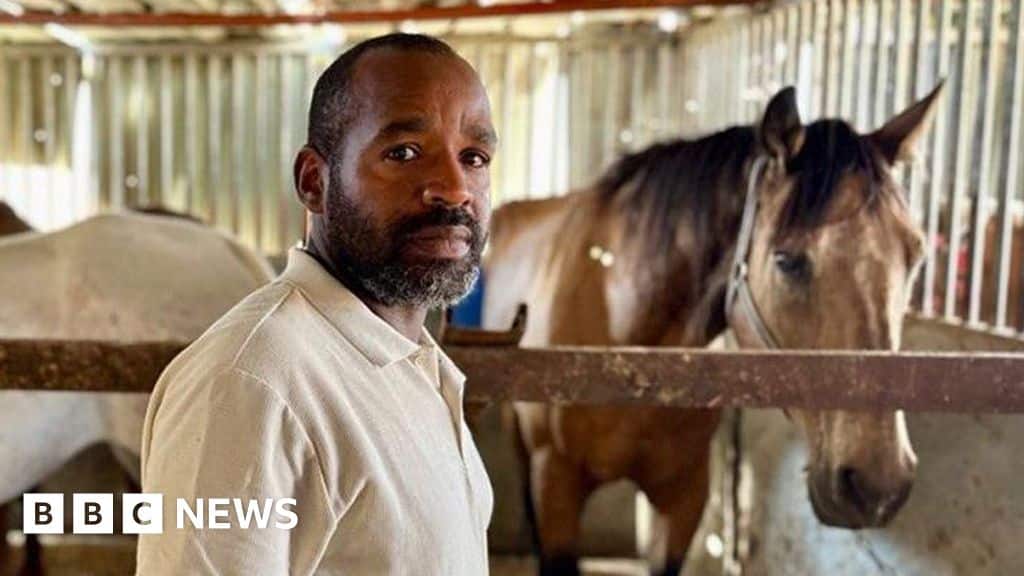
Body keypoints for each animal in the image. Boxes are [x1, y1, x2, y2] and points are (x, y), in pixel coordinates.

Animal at [481, 83, 942, 569]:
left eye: (915, 256)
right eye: (787, 260)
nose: (878, 485)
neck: (626, 344)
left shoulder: (684, 498)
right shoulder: (556, 486)